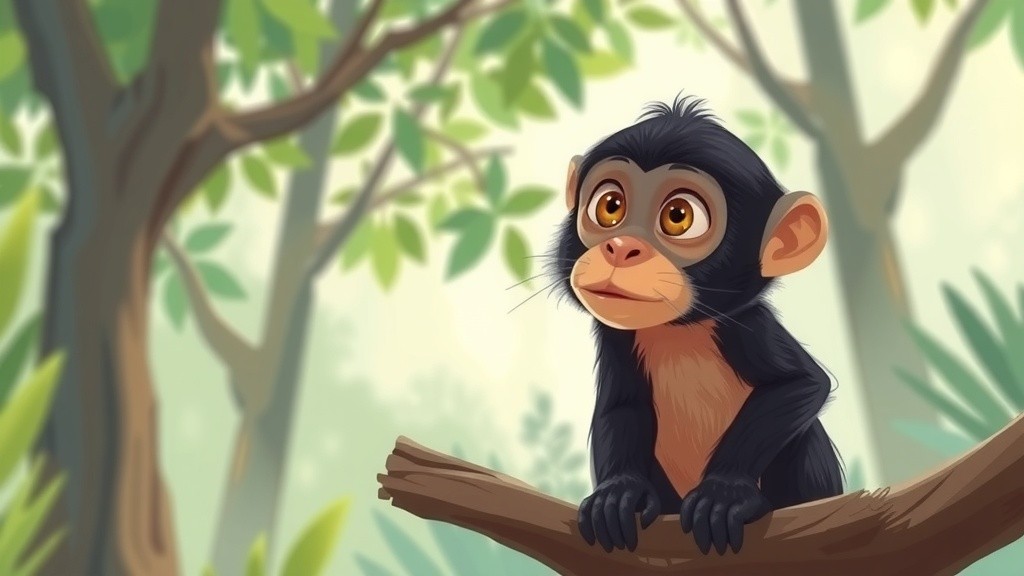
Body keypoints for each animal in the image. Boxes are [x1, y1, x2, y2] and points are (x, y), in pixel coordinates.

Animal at [547, 94, 844, 557]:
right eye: (610, 207)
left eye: (679, 216)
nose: (621, 248)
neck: (677, 330)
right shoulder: (615, 335)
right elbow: (621, 406)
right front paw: (620, 491)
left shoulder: (744, 325)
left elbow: (801, 384)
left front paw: (726, 491)